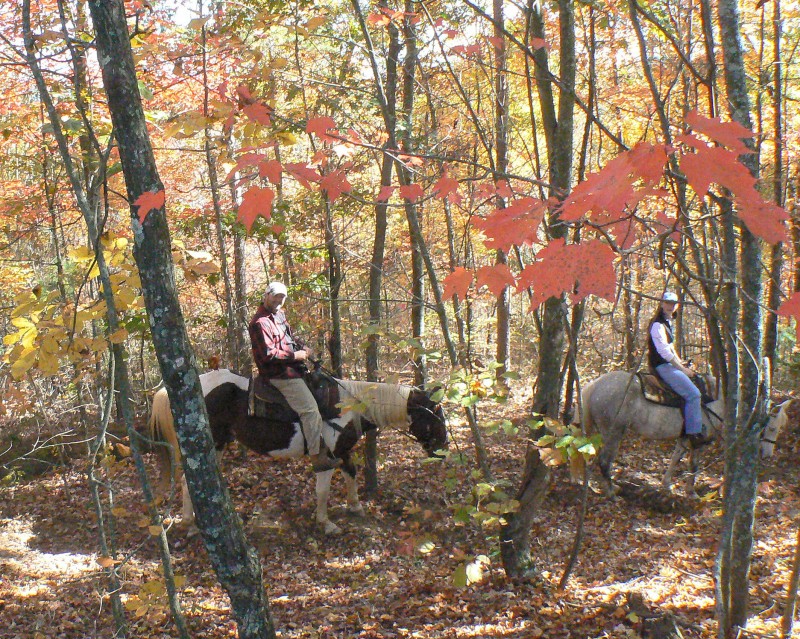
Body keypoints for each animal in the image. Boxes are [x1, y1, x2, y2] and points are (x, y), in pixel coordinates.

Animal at [148, 368, 450, 536]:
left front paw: (355, 506)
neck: (347, 406)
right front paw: (326, 523)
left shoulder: (343, 451)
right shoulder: (326, 456)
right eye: (434, 415)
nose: (443, 449)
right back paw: (191, 522)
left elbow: (351, 474)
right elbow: (323, 490)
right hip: (213, 442)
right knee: (189, 480)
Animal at [580, 370, 792, 496]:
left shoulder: (684, 438)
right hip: (613, 433)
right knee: (604, 460)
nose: (768, 455)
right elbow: (694, 464)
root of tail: (595, 385)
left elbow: (675, 458)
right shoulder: (699, 441)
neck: (718, 400)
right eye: (771, 428)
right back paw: (611, 491)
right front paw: (691, 492)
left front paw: (666, 484)